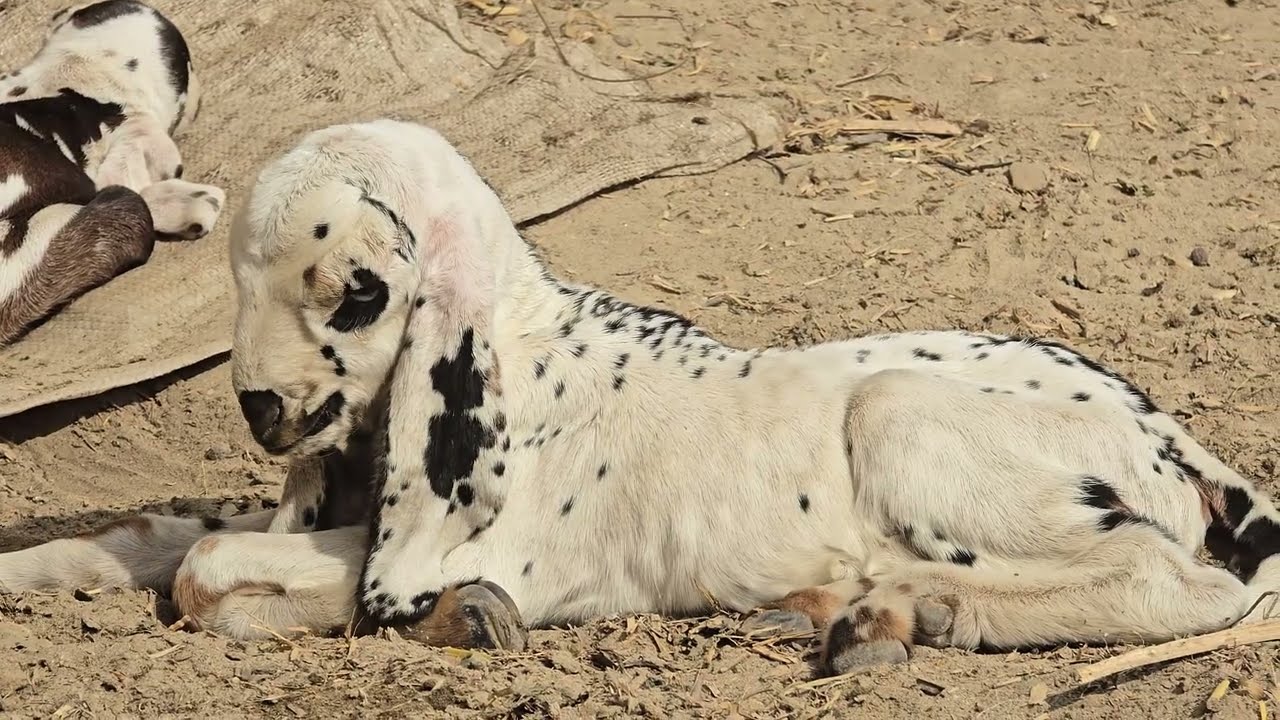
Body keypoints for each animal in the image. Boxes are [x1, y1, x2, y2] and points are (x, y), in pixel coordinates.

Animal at [2, 118, 1277, 676]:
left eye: (357, 292)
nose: (261, 409)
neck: (526, 353)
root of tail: (1180, 446)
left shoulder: (474, 548)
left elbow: (215, 572)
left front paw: (464, 620)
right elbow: (165, 536)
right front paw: (41, 567)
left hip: (900, 415)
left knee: (1174, 585)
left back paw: (907, 607)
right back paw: (860, 610)